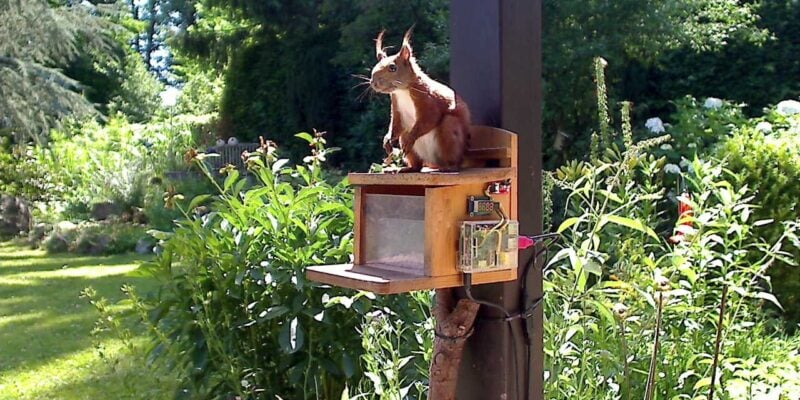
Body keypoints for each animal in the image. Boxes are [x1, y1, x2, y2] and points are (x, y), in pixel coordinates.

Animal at [370, 28, 471, 172]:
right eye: (375, 65)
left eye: (393, 67)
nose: (373, 82)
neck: (402, 91)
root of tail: (434, 163)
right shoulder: (396, 106)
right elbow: (396, 124)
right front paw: (387, 140)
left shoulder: (428, 100)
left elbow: (429, 119)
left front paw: (411, 138)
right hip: (409, 140)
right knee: (417, 164)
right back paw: (408, 168)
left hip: (450, 130)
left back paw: (450, 167)